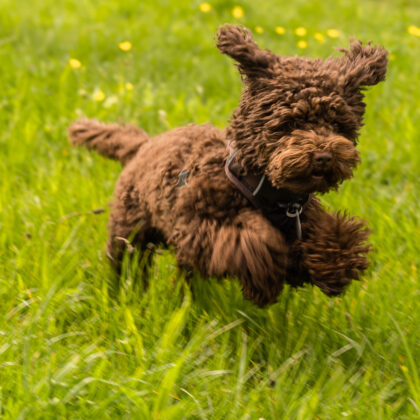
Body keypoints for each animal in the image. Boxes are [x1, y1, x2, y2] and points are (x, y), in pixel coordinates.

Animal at [68, 25, 388, 308]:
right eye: (290, 123)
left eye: (337, 124)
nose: (323, 156)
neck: (266, 192)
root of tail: (143, 144)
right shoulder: (199, 226)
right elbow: (253, 240)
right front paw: (266, 281)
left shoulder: (303, 219)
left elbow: (331, 236)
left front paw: (334, 268)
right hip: (130, 229)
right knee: (129, 261)